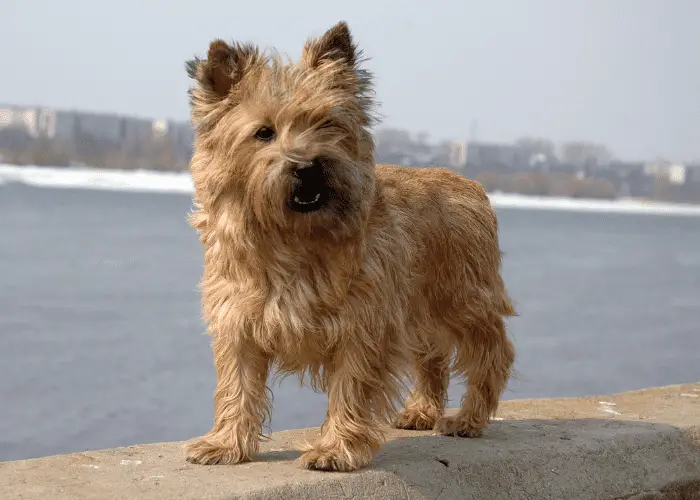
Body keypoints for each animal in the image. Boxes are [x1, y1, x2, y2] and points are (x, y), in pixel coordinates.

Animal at [183, 20, 516, 472]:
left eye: (327, 124)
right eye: (264, 132)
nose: (308, 166)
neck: (294, 237)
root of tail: (470, 184)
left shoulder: (364, 325)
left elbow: (351, 387)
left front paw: (335, 449)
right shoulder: (239, 322)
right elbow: (237, 385)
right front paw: (225, 443)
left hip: (462, 299)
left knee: (491, 353)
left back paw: (468, 418)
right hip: (420, 309)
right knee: (433, 356)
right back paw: (422, 411)